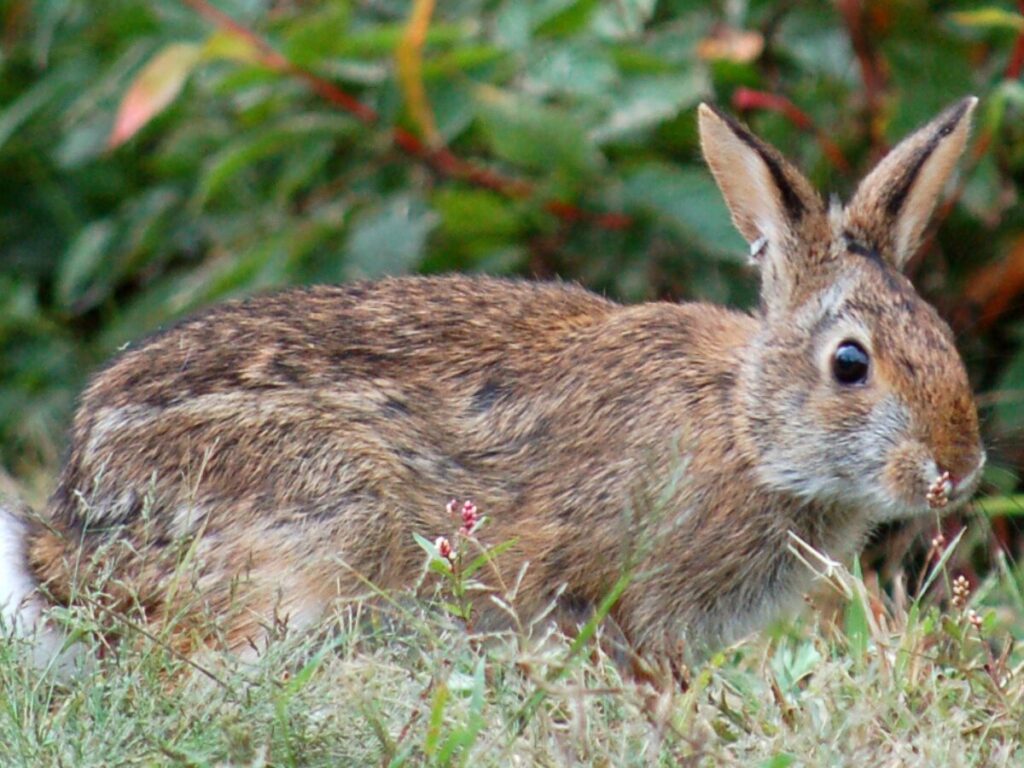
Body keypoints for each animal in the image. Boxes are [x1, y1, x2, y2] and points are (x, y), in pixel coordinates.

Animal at [0, 99, 983, 671]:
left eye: (941, 336)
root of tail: (71, 538)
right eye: (850, 364)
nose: (959, 469)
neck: (746, 430)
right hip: (312, 531)